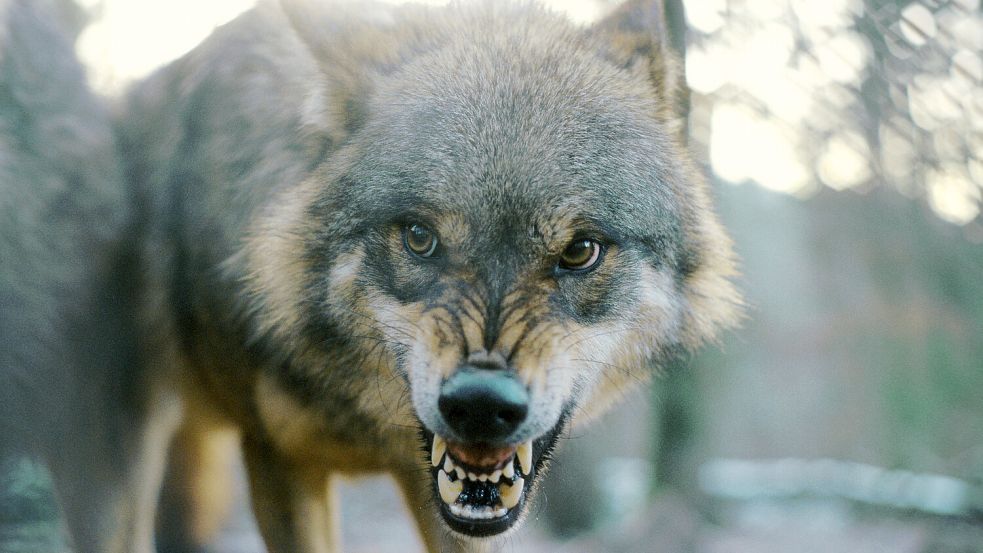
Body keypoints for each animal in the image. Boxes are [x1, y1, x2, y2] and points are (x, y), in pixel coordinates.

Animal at [1, 0, 741, 551]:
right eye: (419, 236)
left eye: (580, 249)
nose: (480, 404)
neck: (370, 422)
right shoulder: (278, 460)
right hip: (114, 454)